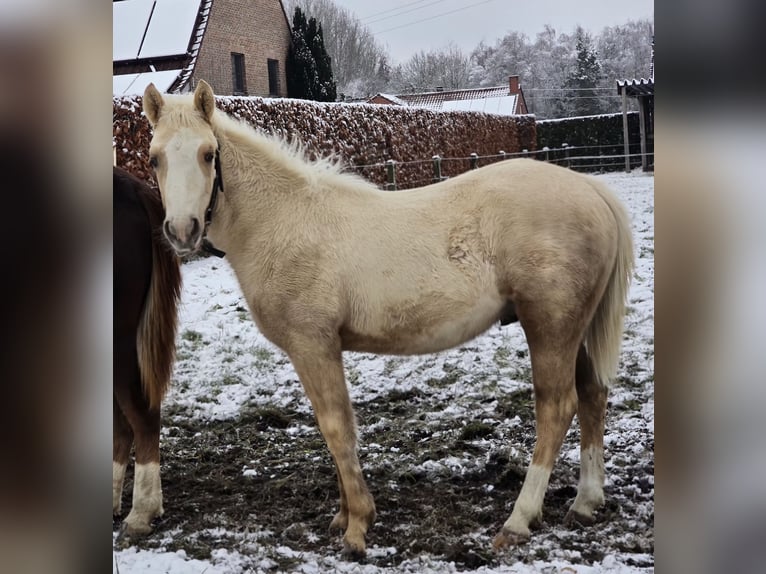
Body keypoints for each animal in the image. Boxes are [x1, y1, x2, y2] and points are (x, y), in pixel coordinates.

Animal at [142, 80, 634, 557]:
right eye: (154, 157)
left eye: (208, 154)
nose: (182, 231)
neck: (283, 222)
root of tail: (591, 190)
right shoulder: (323, 349)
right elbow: (338, 428)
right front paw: (344, 516)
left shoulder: (313, 346)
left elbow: (336, 428)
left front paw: (358, 526)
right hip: (574, 330)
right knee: (592, 395)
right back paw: (585, 502)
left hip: (550, 328)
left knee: (558, 408)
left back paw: (519, 519)